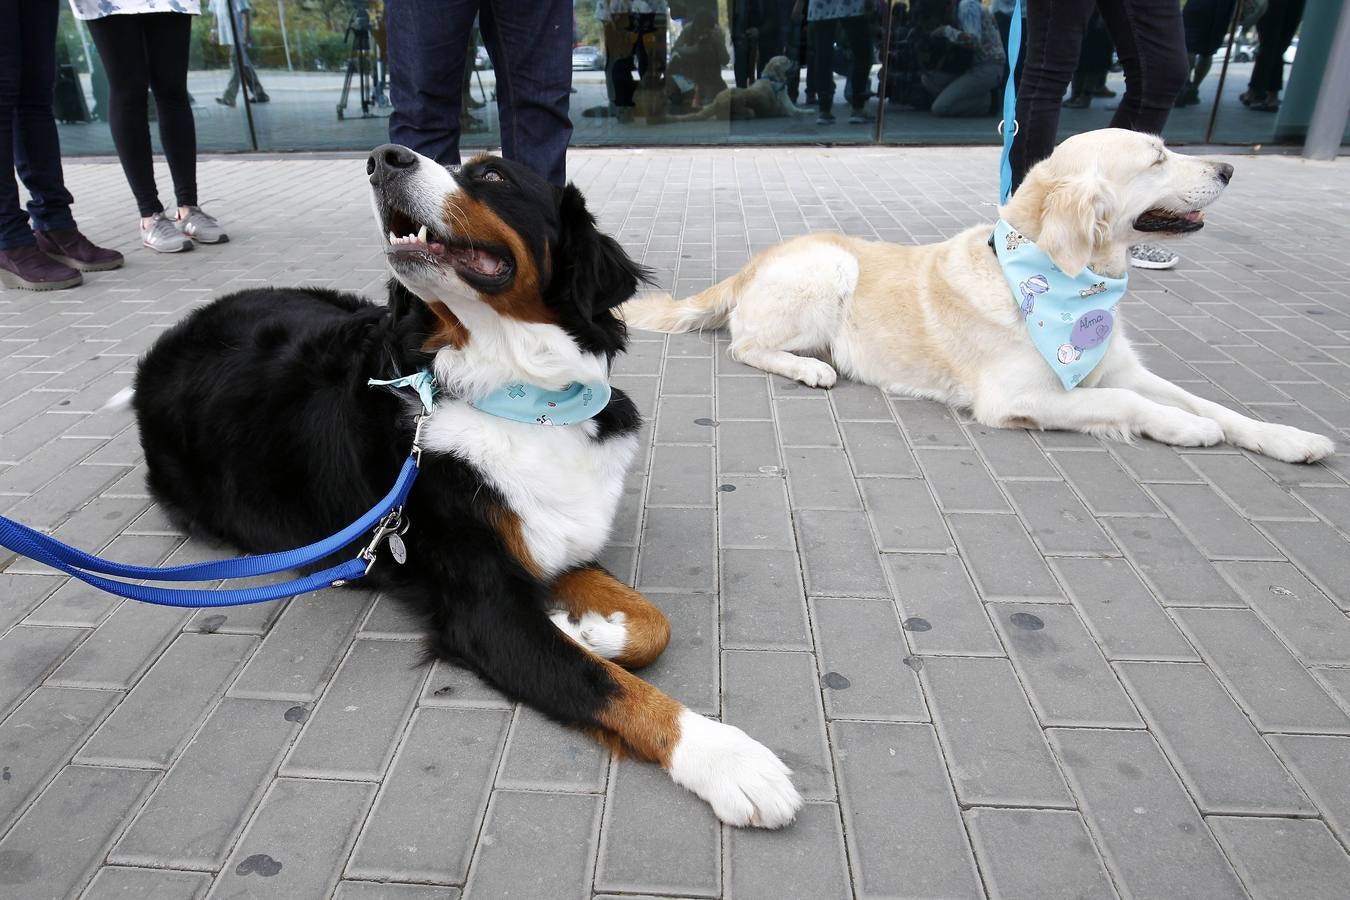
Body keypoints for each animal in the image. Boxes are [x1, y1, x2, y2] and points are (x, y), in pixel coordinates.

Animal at [126, 147, 799, 831]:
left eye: (493, 175)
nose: (383, 158)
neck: (515, 393)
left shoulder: (555, 540)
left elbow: (653, 623)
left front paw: (593, 631)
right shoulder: (485, 606)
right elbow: (609, 686)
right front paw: (729, 760)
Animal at [623, 129, 1339, 464]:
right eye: (1158, 158)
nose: (1228, 167)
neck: (1064, 283)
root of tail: (753, 261)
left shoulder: (1120, 365)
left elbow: (1205, 401)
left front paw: (1285, 436)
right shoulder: (1017, 397)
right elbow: (1131, 403)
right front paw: (1188, 428)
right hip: (830, 267)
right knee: (745, 345)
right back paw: (810, 367)